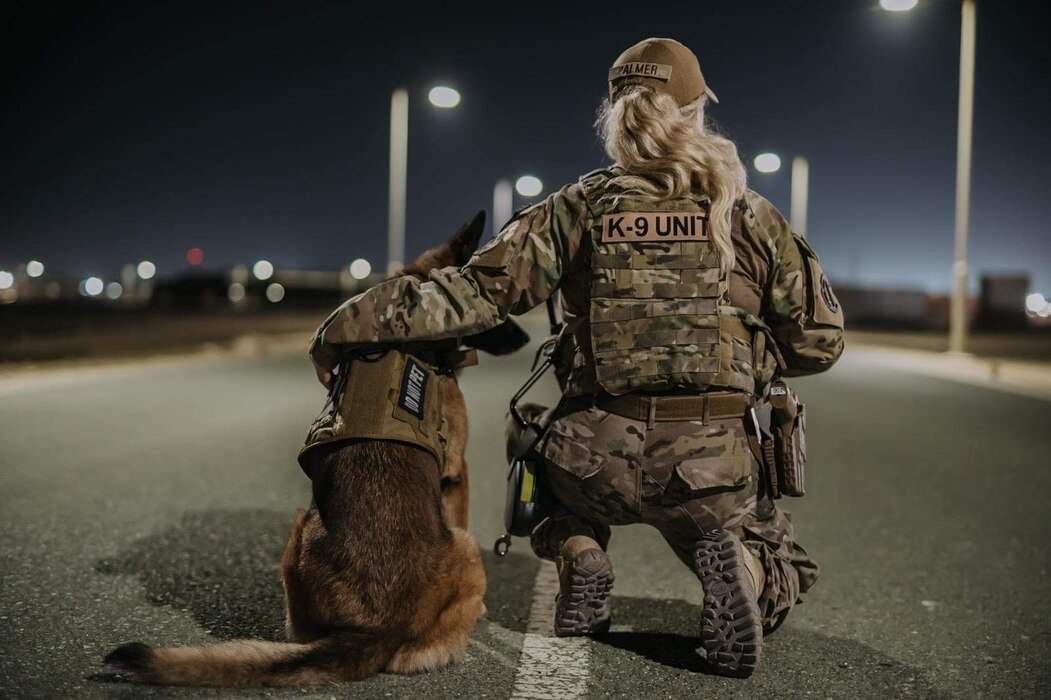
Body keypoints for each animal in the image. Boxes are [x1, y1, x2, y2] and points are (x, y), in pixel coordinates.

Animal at [97, 210, 529, 685]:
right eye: (494, 302)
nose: (526, 338)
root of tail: (379, 626)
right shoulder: (458, 471)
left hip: (302, 533)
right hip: (449, 545)